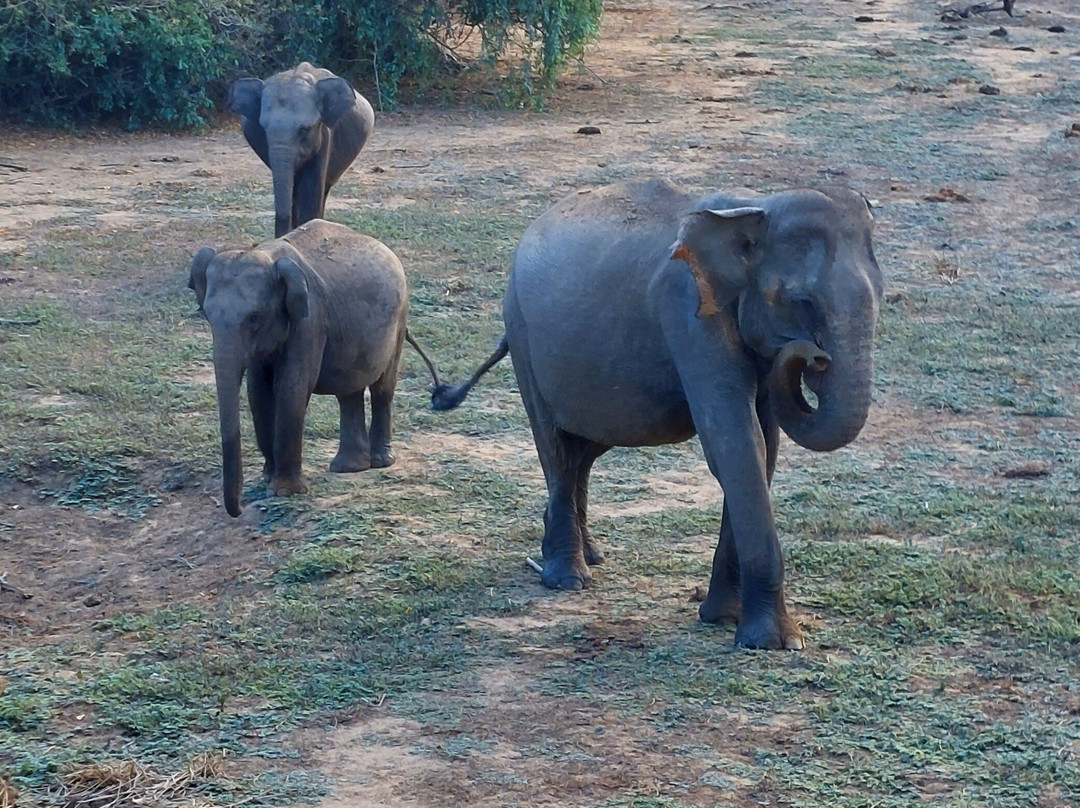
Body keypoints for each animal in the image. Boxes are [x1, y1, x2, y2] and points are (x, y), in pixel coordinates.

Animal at [190, 219, 438, 518]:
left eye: (254, 317)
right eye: (207, 314)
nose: (238, 509)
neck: (266, 253)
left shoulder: (310, 319)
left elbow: (292, 386)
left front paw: (284, 492)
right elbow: (258, 392)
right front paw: (267, 479)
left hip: (399, 318)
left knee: (382, 387)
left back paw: (380, 461)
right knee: (349, 391)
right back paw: (349, 467)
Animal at [432, 178, 885, 648]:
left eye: (882, 295)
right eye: (801, 301)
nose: (813, 357)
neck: (756, 206)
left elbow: (762, 446)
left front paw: (721, 617)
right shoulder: (687, 311)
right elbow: (736, 441)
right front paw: (772, 641)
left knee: (583, 450)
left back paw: (590, 554)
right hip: (522, 334)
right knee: (555, 446)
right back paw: (567, 578)